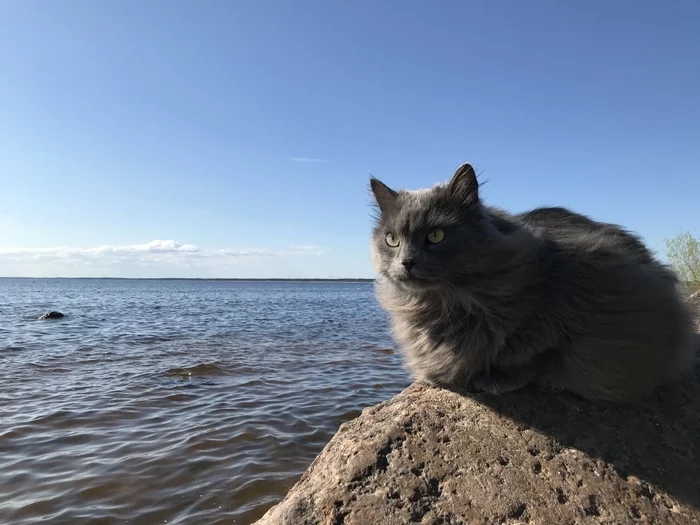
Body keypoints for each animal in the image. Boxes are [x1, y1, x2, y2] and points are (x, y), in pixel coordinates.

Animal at [370, 163, 696, 402]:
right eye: (392, 240)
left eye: (436, 235)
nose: (407, 262)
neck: (445, 306)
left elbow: (543, 353)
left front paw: (496, 377)